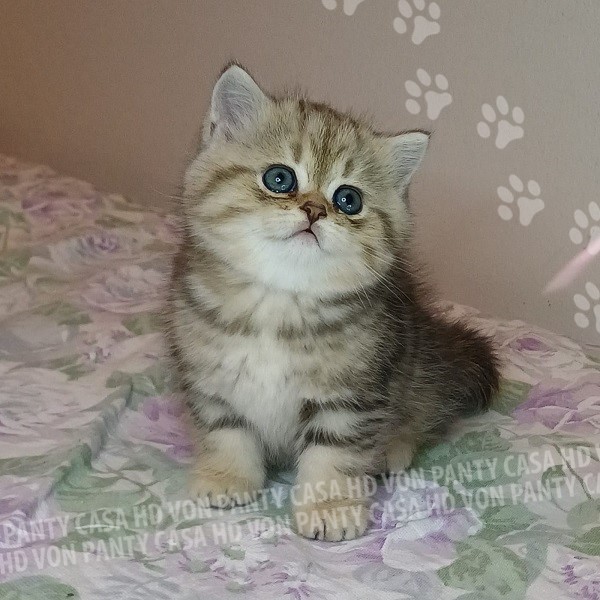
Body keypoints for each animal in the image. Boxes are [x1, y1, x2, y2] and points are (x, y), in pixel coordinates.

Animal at [165, 63, 500, 541]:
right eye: (280, 179)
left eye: (348, 200)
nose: (314, 210)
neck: (279, 302)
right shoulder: (209, 378)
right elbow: (225, 430)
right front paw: (226, 476)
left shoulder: (352, 395)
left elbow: (333, 453)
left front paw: (330, 506)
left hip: (417, 364)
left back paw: (392, 448)